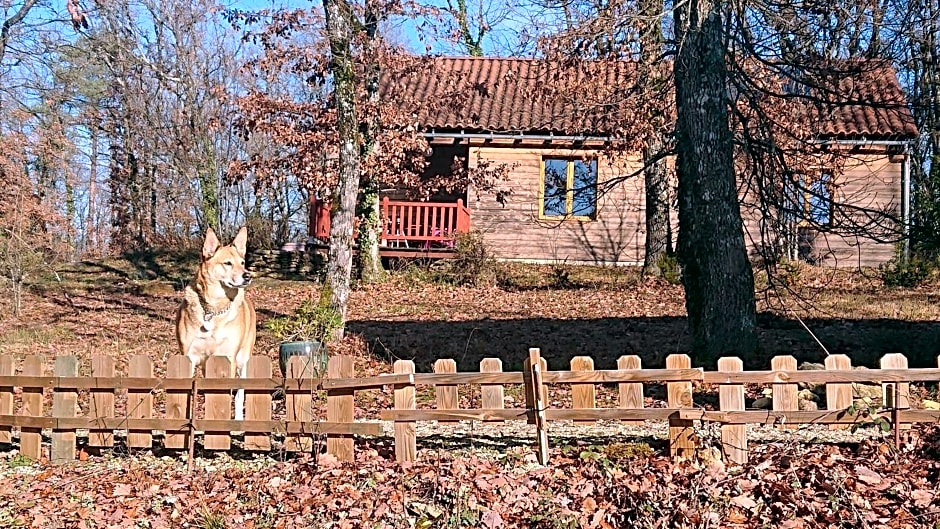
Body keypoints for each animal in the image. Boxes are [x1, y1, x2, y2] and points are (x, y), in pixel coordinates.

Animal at [175, 227, 258, 420]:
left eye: (242, 262)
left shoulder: (228, 358)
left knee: (240, 393)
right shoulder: (189, 356)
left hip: (243, 360)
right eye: (227, 263)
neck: (213, 308)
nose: (248, 275)